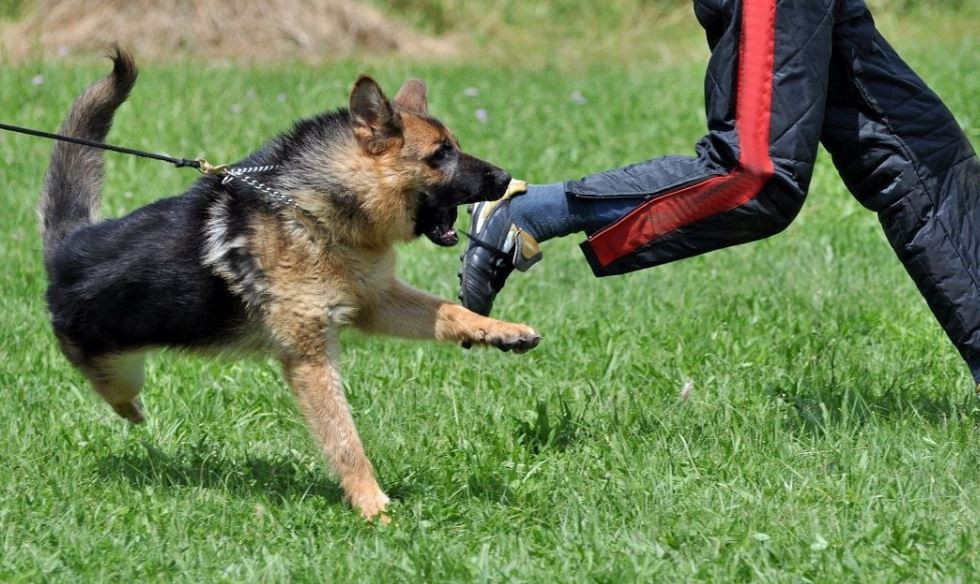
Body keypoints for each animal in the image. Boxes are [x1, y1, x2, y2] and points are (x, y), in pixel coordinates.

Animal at [42, 51, 540, 520]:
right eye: (440, 154)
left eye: (455, 146)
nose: (504, 178)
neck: (316, 212)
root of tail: (68, 246)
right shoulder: (309, 359)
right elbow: (345, 441)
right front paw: (373, 507)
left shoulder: (377, 302)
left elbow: (450, 312)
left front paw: (503, 330)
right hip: (119, 366)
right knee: (115, 392)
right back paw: (130, 411)